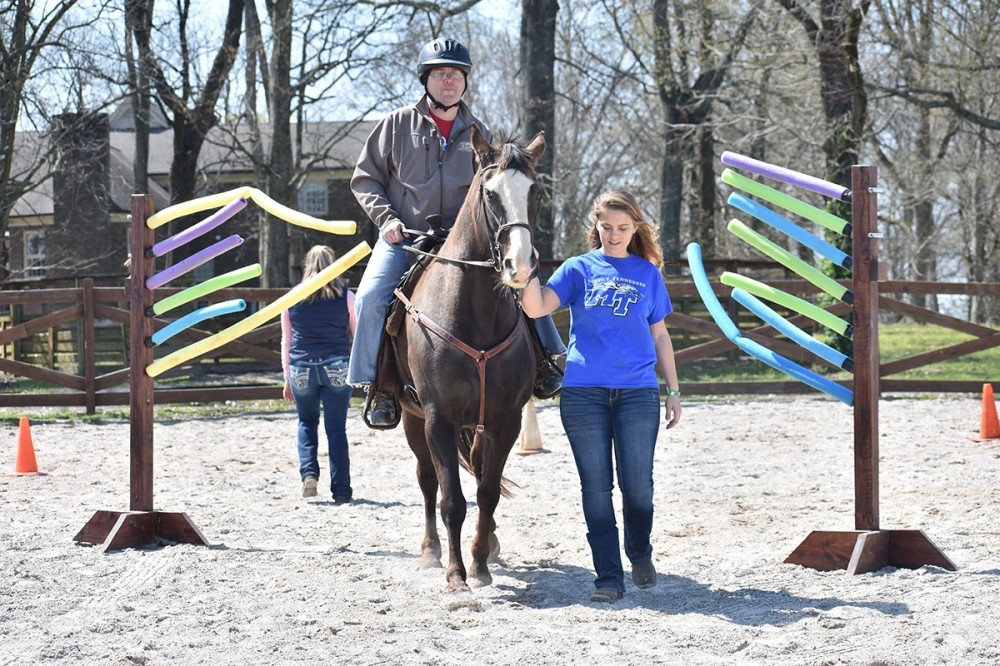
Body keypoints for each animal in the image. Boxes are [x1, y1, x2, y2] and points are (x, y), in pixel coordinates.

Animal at [391, 125, 545, 592]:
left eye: (535, 192)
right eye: (490, 193)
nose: (520, 266)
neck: (474, 314)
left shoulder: (505, 420)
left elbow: (488, 492)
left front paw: (479, 563)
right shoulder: (438, 418)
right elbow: (451, 500)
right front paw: (456, 574)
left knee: (477, 471)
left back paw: (489, 543)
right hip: (412, 419)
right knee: (427, 481)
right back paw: (430, 551)